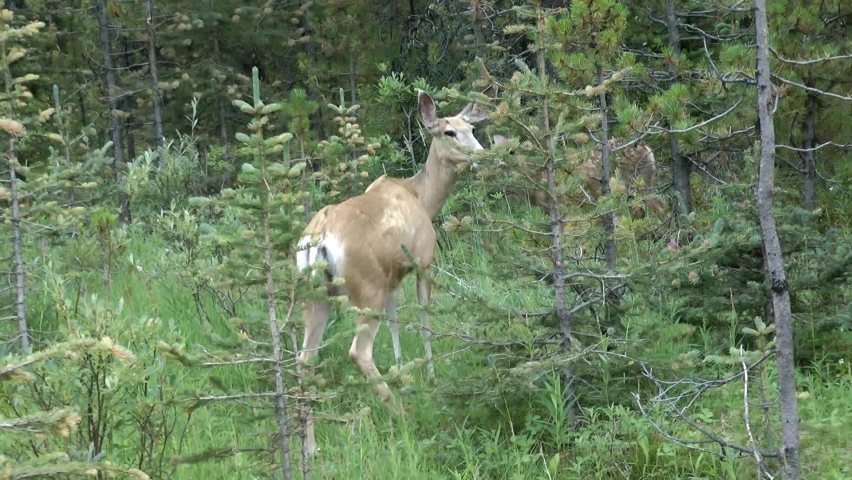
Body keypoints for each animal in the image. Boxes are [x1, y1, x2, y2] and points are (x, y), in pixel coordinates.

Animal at [295, 85, 497, 455]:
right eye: (449, 132)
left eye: (472, 128)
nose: (482, 155)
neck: (423, 198)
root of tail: (319, 237)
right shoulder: (423, 261)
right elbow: (424, 323)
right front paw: (429, 377)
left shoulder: (391, 278)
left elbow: (395, 324)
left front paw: (402, 371)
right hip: (365, 287)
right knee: (358, 352)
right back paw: (400, 414)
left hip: (317, 294)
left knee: (305, 359)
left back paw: (311, 445)